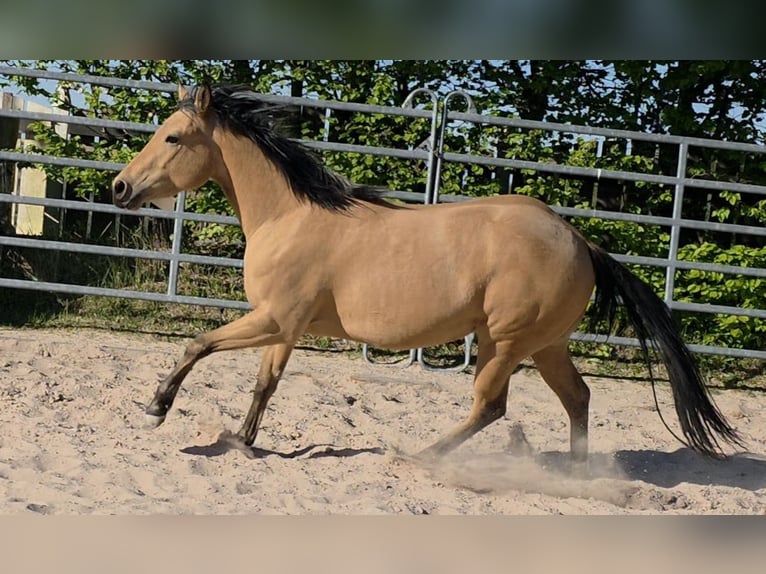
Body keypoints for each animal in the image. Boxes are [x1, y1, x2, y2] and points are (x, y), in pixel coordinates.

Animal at [111, 84, 742, 462]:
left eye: (173, 136)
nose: (119, 188)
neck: (288, 216)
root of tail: (581, 240)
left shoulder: (273, 319)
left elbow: (197, 345)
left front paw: (155, 411)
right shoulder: (283, 327)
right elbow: (265, 383)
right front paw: (242, 442)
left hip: (505, 341)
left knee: (491, 405)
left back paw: (424, 457)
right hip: (545, 345)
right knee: (578, 398)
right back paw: (574, 476)